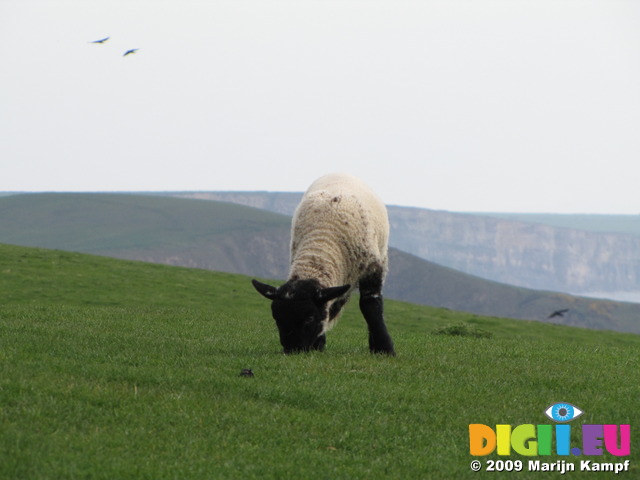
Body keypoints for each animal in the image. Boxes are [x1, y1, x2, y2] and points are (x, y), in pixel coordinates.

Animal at [251, 174, 396, 354]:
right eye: (276, 317)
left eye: (310, 317)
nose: (293, 350)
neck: (321, 246)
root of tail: (341, 172)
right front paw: (318, 344)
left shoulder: (373, 268)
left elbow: (370, 305)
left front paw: (384, 349)